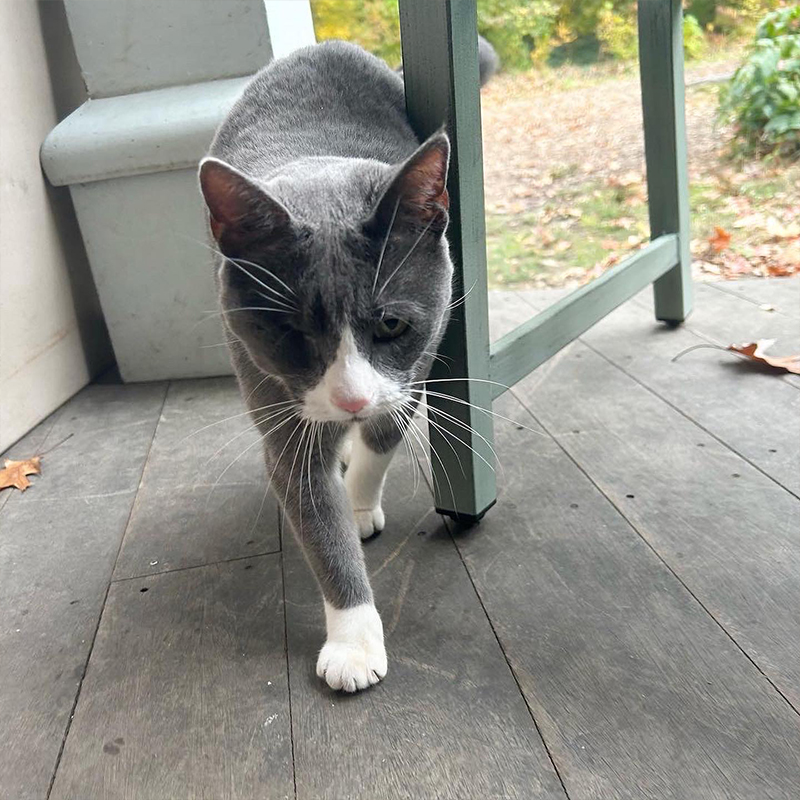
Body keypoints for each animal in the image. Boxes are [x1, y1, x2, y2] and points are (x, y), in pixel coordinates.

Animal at [199, 40, 456, 692]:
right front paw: (354, 643)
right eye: (290, 334)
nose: (350, 400)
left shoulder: (416, 364)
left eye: (390, 324)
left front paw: (360, 504)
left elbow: (384, 434)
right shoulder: (274, 400)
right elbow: (318, 522)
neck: (322, 178)